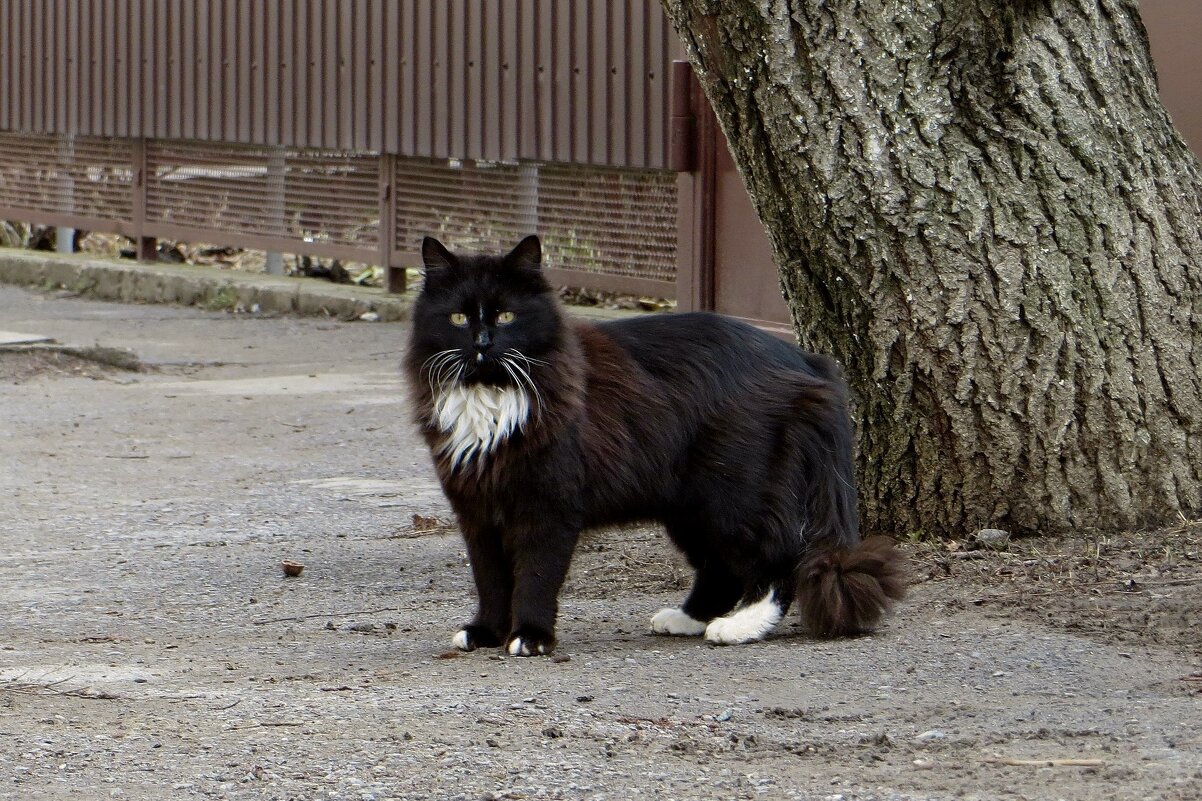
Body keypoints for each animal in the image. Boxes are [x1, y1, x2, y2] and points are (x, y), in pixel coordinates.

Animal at [403, 232, 903, 654]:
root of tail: (807, 360)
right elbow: (490, 580)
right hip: (691, 507)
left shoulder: (548, 508)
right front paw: (486, 631)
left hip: (735, 498)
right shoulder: (477, 511)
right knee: (720, 569)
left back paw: (739, 627)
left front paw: (530, 636)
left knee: (780, 560)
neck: (493, 396)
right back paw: (688, 619)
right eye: (458, 318)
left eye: (506, 315)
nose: (483, 344)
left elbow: (535, 577)